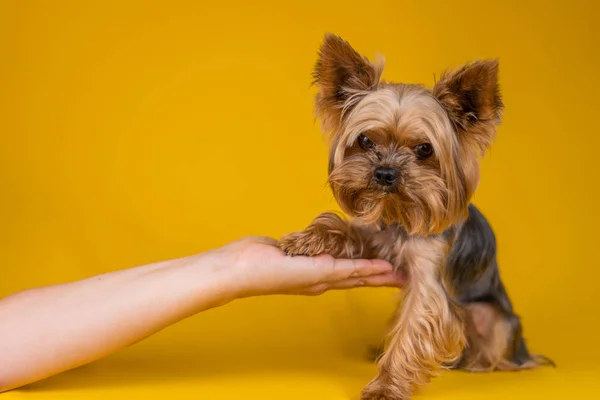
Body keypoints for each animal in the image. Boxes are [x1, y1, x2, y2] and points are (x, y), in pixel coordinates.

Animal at [278, 34, 552, 400]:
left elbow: (413, 329)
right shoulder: (375, 240)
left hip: (491, 318)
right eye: (365, 140)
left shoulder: (429, 282)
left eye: (424, 149)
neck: (399, 213)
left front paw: (386, 386)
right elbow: (342, 229)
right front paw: (307, 239)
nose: (385, 173)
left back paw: (480, 364)